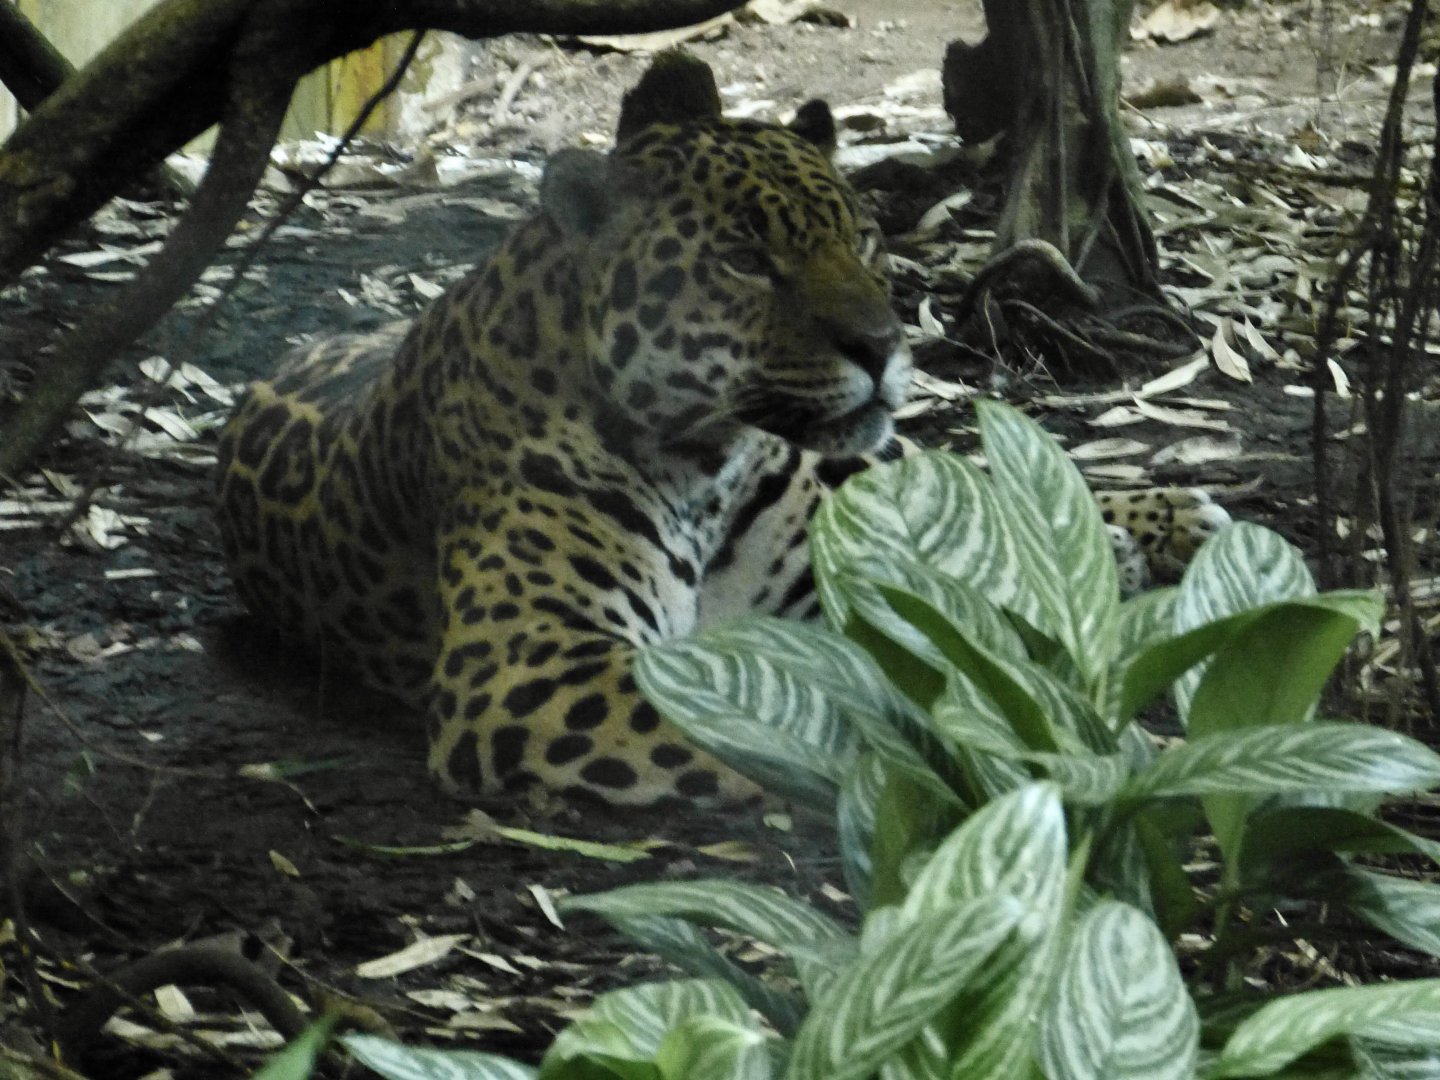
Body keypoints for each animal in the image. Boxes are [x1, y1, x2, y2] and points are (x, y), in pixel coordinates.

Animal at [215, 52, 1228, 807]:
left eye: (862, 237)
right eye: (745, 260)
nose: (882, 346)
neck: (709, 465)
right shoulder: (527, 669)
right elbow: (831, 711)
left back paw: (1163, 519)